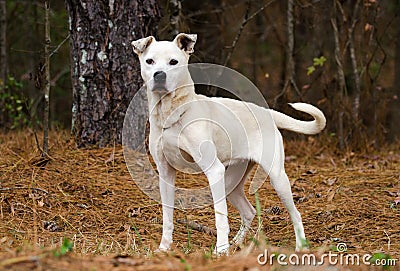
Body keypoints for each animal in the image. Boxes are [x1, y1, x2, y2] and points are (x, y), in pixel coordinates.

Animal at [131, 33, 324, 255]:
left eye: (174, 62)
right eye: (149, 61)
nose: (159, 75)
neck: (172, 113)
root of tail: (267, 112)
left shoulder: (214, 171)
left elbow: (220, 217)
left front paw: (220, 251)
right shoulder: (165, 173)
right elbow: (167, 216)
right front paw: (164, 248)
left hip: (276, 178)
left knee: (295, 214)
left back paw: (300, 246)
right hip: (231, 183)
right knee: (249, 212)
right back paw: (237, 244)